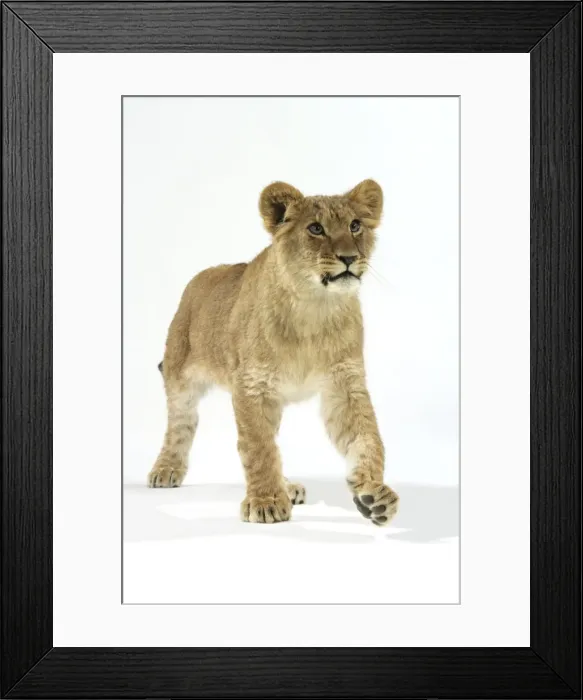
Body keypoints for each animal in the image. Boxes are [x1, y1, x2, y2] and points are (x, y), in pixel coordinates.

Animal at [147, 179, 399, 526]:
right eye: (316, 228)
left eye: (355, 225)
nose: (349, 257)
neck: (314, 308)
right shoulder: (251, 386)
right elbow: (258, 447)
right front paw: (265, 502)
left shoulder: (345, 384)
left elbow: (367, 436)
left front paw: (375, 494)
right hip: (179, 373)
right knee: (180, 423)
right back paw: (166, 469)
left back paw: (289, 486)